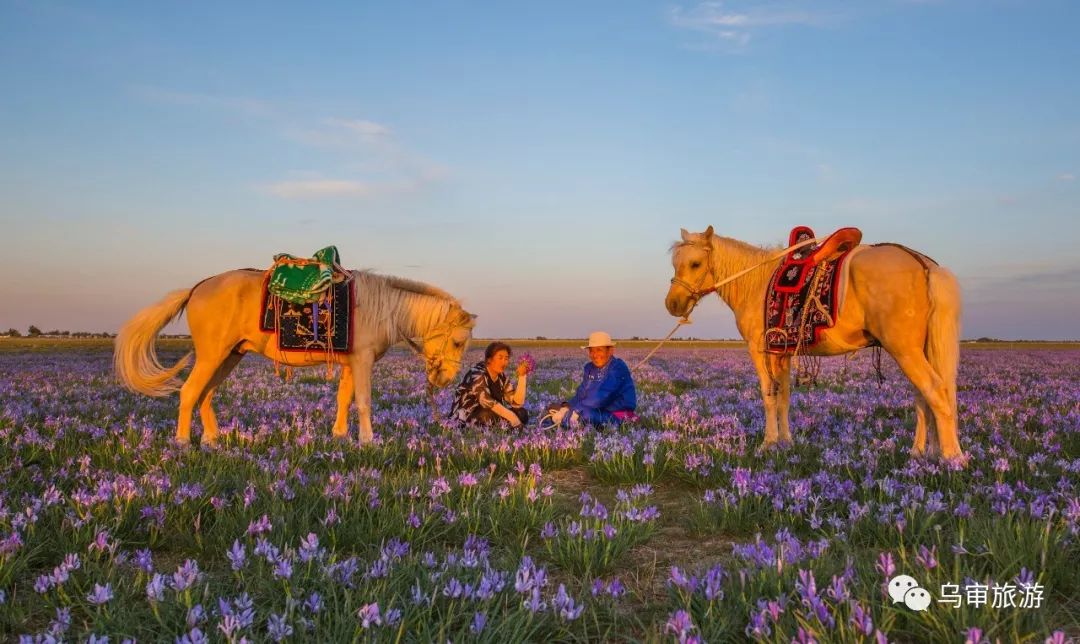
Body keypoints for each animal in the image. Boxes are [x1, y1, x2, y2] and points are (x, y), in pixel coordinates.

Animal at [112, 269, 477, 445]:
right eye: (459, 342)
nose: (444, 379)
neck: (380, 307)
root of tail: (197, 287)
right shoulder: (362, 361)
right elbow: (363, 402)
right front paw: (368, 440)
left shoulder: (350, 363)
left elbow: (344, 399)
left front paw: (339, 436)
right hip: (211, 356)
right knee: (189, 392)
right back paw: (183, 443)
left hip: (229, 356)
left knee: (206, 395)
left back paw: (213, 440)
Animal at [665, 226, 963, 458]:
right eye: (675, 263)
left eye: (695, 264)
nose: (673, 304)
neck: (755, 283)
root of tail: (923, 263)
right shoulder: (781, 353)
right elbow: (784, 397)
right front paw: (786, 442)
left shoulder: (760, 351)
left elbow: (768, 397)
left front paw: (768, 444)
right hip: (918, 350)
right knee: (923, 397)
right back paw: (919, 453)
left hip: (904, 350)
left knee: (935, 390)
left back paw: (951, 459)